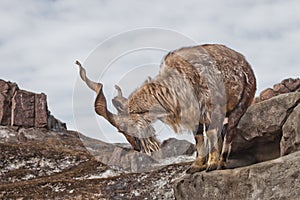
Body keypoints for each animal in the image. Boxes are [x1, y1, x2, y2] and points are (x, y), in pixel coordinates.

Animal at [75, 44, 255, 172]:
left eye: (122, 127)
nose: (136, 147)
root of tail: (247, 65)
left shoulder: (212, 108)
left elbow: (211, 135)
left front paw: (210, 166)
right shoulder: (195, 117)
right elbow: (199, 138)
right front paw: (196, 167)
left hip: (239, 107)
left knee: (229, 133)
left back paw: (221, 163)